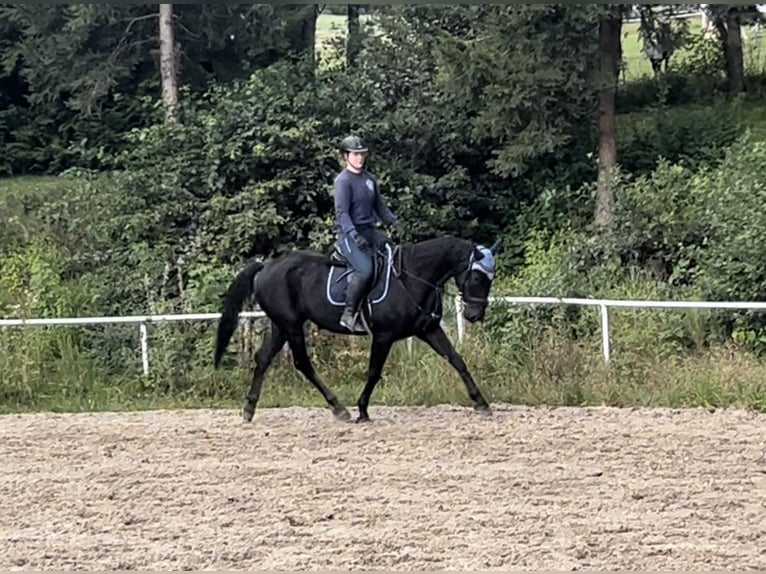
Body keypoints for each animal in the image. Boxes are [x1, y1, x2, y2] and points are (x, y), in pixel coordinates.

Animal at [213, 232, 500, 426]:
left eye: (490, 278)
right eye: (476, 276)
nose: (474, 315)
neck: (413, 277)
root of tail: (267, 266)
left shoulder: (428, 330)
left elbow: (457, 360)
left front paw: (481, 402)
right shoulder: (384, 336)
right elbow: (374, 372)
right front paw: (362, 410)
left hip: (280, 326)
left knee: (263, 359)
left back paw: (249, 409)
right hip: (292, 326)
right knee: (302, 363)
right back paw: (339, 408)